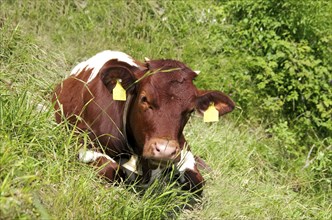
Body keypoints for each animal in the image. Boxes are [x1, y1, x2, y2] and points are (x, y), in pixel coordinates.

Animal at [52, 51, 233, 194]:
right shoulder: (78, 138)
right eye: (144, 98)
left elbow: (196, 181)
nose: (165, 150)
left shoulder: (182, 147)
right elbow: (113, 170)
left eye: (190, 110)